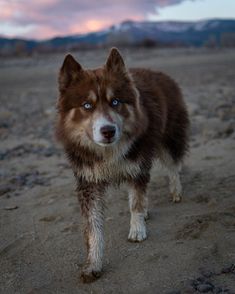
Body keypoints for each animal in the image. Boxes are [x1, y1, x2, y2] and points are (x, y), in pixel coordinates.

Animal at [55, 47, 189, 282]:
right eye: (87, 105)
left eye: (115, 102)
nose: (108, 131)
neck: (108, 151)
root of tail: (161, 73)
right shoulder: (89, 183)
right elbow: (94, 228)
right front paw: (93, 263)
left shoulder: (137, 166)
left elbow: (136, 201)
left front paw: (137, 229)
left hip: (169, 136)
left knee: (173, 165)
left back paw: (175, 191)